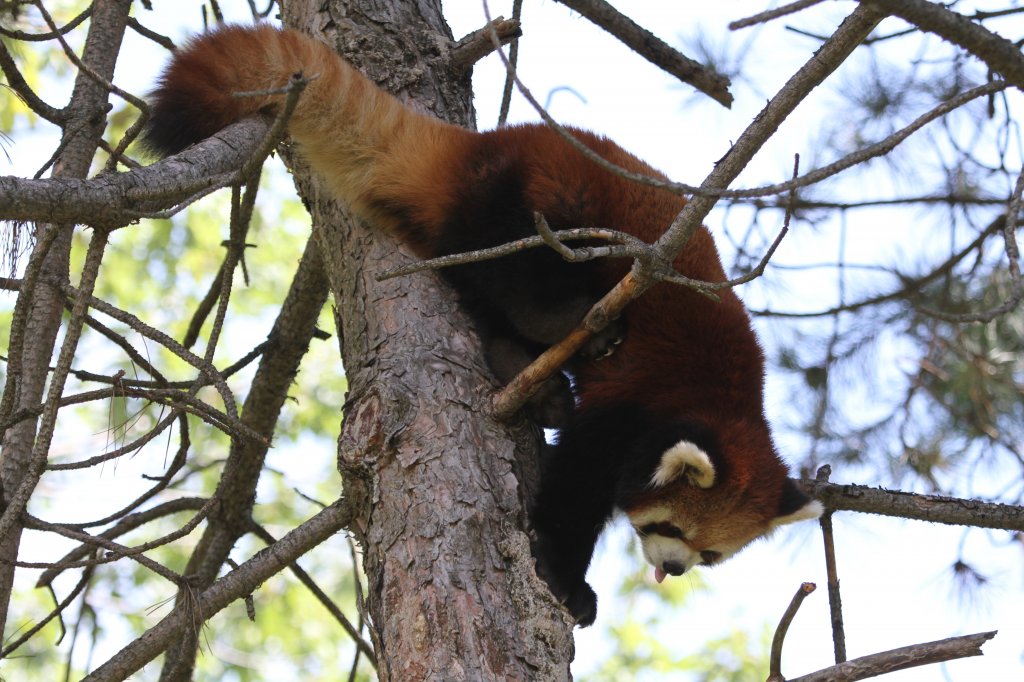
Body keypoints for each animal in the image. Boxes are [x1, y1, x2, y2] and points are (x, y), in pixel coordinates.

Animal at [142, 23, 823, 622]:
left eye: (710, 555)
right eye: (670, 526)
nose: (674, 569)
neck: (721, 405)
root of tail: (482, 144)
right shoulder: (633, 406)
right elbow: (573, 489)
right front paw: (565, 578)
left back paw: (530, 376)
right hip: (538, 202)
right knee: (511, 269)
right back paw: (557, 332)